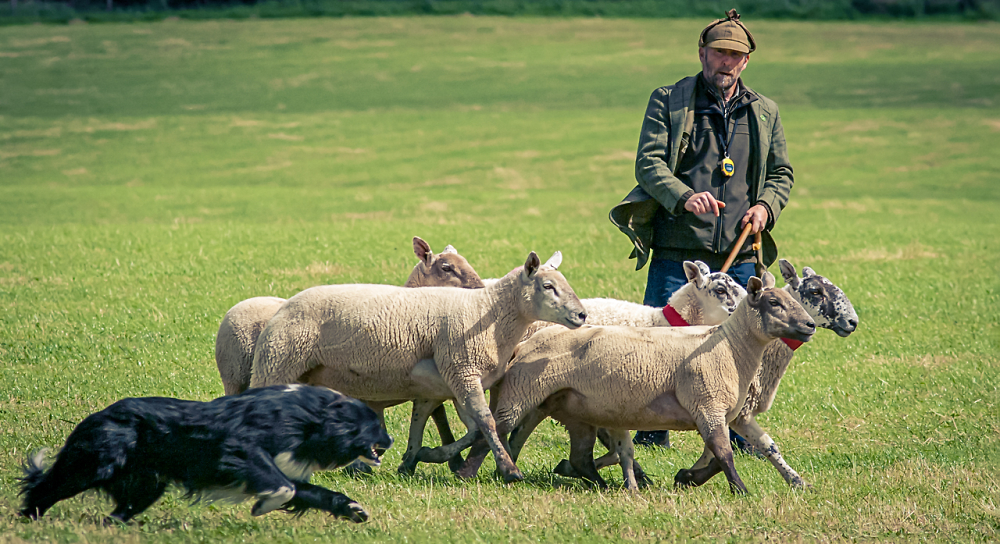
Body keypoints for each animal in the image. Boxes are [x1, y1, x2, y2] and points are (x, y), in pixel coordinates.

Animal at [18, 384, 394, 524]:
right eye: (375, 424)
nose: (390, 441)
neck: (308, 416)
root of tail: (98, 415)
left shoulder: (284, 468)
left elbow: (312, 492)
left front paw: (352, 509)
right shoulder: (241, 449)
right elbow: (283, 488)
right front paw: (261, 507)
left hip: (147, 485)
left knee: (120, 510)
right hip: (94, 464)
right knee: (45, 486)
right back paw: (29, 518)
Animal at [249, 249, 584, 482]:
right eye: (548, 286)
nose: (581, 315)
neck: (488, 313)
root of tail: (284, 306)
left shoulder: (443, 383)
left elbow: (446, 426)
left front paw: (418, 458)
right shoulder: (463, 370)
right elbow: (487, 423)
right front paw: (509, 470)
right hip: (277, 362)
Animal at [490, 274, 812, 490]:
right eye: (774, 302)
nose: (809, 325)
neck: (729, 345)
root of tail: (530, 340)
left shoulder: (727, 413)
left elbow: (747, 448)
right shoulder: (708, 407)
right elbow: (724, 454)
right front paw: (739, 490)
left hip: (563, 404)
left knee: (538, 437)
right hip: (530, 392)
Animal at [672, 260, 860, 488]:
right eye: (816, 291)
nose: (853, 322)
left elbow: (767, 445)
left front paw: (798, 482)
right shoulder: (731, 409)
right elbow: (720, 448)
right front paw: (690, 476)